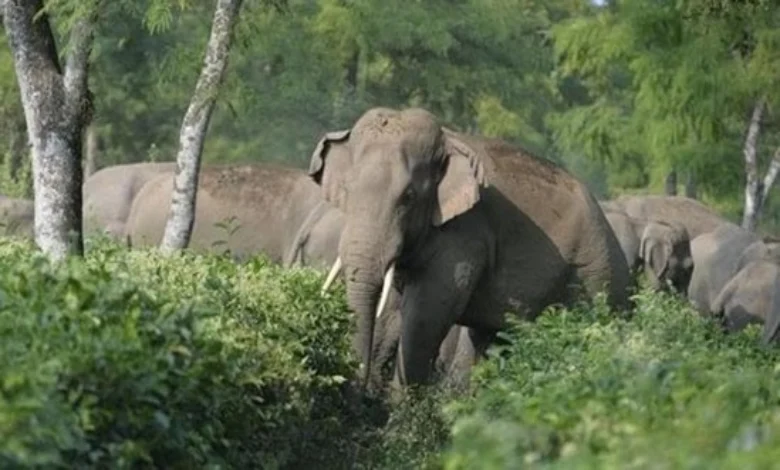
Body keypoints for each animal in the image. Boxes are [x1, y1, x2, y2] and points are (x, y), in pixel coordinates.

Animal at [308, 105, 632, 386]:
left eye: (408, 197)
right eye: (347, 190)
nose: (355, 390)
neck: (448, 141)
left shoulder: (465, 234)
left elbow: (425, 316)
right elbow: (396, 312)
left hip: (596, 280)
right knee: (488, 342)